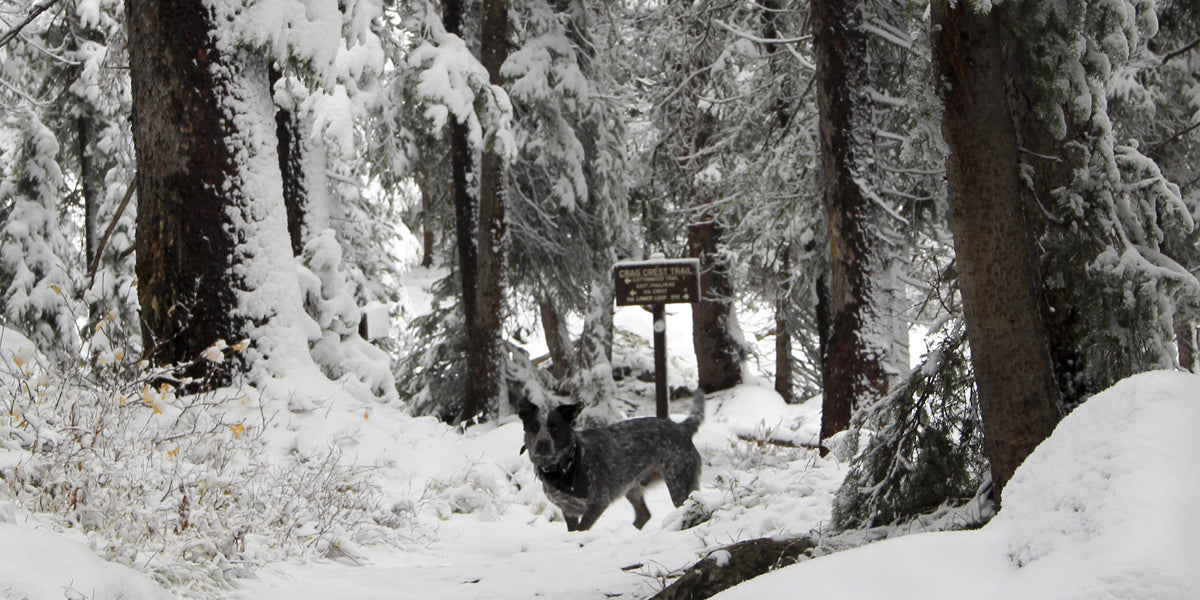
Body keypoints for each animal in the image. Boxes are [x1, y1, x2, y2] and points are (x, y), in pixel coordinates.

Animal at [518, 391, 700, 532]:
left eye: (554, 427)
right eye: (534, 427)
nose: (542, 443)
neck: (562, 468)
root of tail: (682, 427)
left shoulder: (597, 503)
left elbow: (582, 529)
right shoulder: (568, 510)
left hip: (680, 485)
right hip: (632, 487)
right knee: (644, 514)